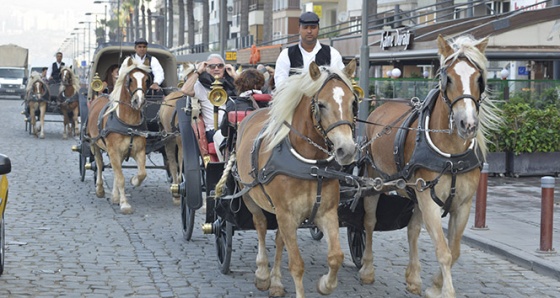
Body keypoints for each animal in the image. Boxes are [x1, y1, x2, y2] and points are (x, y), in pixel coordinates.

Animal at [86, 56, 152, 214]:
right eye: (130, 79)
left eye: (147, 80)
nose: (139, 101)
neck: (128, 124)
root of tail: (100, 95)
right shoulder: (113, 151)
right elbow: (120, 177)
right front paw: (125, 204)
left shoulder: (139, 151)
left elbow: (142, 173)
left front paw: (133, 180)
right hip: (94, 143)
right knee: (99, 164)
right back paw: (100, 189)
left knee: (117, 170)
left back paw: (115, 196)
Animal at [228, 59, 358, 296]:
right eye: (321, 105)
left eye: (353, 103)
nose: (347, 149)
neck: (311, 166)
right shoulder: (287, 214)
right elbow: (297, 265)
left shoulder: (326, 212)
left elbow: (336, 256)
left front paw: (325, 284)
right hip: (249, 195)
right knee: (260, 226)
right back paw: (263, 274)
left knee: (279, 239)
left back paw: (276, 282)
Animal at [358, 33, 498, 296]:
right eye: (448, 78)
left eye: (478, 78)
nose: (467, 125)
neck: (451, 156)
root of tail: (379, 107)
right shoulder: (429, 201)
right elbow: (443, 251)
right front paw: (446, 291)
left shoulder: (462, 205)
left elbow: (454, 251)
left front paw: (433, 285)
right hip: (374, 182)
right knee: (369, 222)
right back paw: (367, 269)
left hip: (415, 193)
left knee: (412, 229)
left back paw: (413, 277)